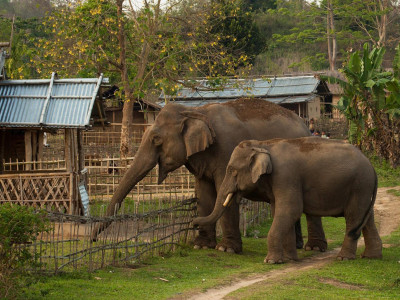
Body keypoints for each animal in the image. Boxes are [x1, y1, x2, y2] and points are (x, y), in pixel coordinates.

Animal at [92, 98, 326, 253]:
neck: (195, 112)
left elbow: (225, 192)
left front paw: (226, 250)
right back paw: (298, 246)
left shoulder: (228, 150)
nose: (93, 239)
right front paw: (201, 245)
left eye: (156, 139)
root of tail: (305, 124)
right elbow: (204, 193)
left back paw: (313, 248)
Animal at [193, 137, 382, 264]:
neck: (263, 144)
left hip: (359, 186)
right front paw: (289, 259)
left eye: (232, 170)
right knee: (366, 220)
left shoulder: (286, 176)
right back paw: (370, 256)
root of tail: (373, 168)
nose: (194, 223)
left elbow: (291, 210)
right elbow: (281, 212)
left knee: (353, 218)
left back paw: (343, 258)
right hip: (364, 190)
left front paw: (271, 261)